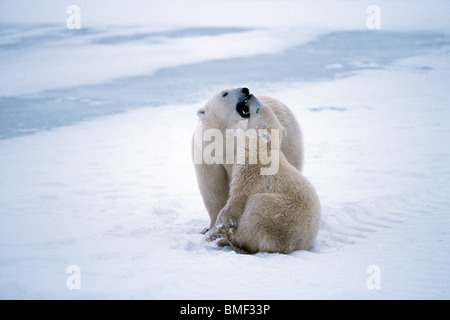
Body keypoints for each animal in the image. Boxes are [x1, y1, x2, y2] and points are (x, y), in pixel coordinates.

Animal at [192, 87, 304, 232]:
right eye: (225, 93)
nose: (245, 89)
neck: (222, 144)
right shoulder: (206, 155)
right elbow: (212, 187)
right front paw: (209, 227)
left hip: (290, 140)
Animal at [206, 94, 318, 254]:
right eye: (263, 106)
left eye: (258, 109)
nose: (251, 95)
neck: (262, 148)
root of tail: (290, 246)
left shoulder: (251, 172)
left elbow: (236, 201)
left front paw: (211, 234)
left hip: (277, 212)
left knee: (255, 215)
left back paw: (229, 235)